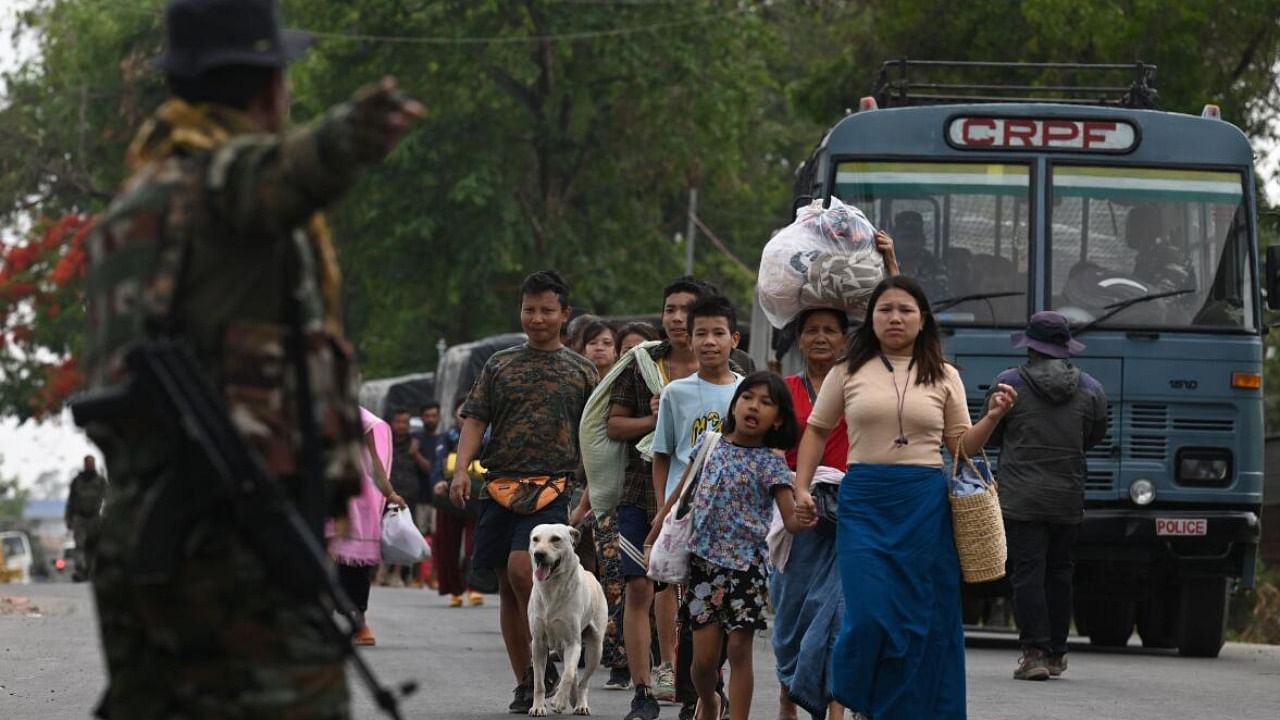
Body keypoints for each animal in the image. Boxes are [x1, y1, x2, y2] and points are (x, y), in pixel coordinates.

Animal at [529, 520, 609, 712]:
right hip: (560, 647)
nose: (539, 554)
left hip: (595, 649)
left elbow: (568, 674)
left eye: (555, 539)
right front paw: (538, 707)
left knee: (582, 680)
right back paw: (571, 697)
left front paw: (559, 701)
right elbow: (539, 682)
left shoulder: (573, 642)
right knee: (571, 671)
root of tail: (592, 575)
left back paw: (580, 703)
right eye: (535, 539)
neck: (552, 588)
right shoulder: (538, 644)